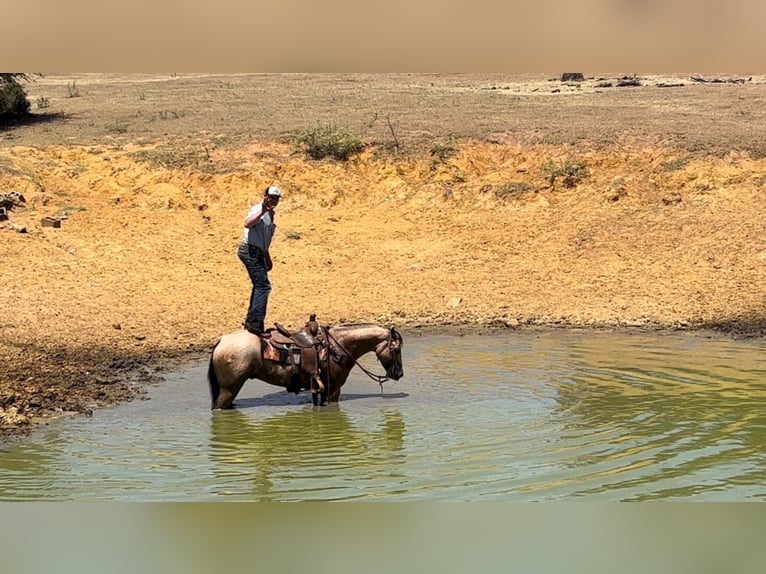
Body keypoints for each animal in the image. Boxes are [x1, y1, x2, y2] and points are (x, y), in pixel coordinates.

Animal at [207, 324, 404, 410]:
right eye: (396, 349)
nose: (400, 374)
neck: (338, 345)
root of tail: (221, 341)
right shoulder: (334, 389)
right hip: (228, 389)